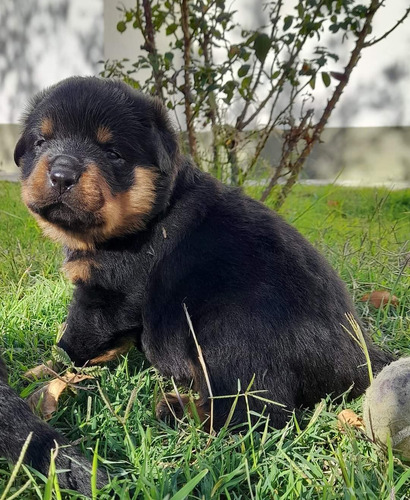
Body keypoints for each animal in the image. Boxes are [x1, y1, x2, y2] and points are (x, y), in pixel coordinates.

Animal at [15, 77, 394, 430]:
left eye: (113, 154)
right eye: (40, 142)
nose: (62, 174)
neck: (151, 214)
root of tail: (359, 362)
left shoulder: (106, 291)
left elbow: (74, 339)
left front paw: (45, 369)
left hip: (227, 331)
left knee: (255, 410)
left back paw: (176, 408)